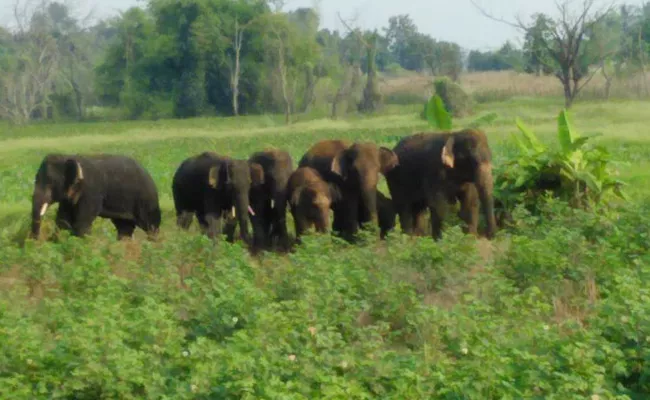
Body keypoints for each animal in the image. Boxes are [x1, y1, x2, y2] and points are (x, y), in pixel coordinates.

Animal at [29, 154, 162, 241]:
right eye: (35, 179)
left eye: (50, 184)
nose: (33, 242)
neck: (68, 156)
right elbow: (62, 221)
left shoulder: (91, 192)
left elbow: (81, 224)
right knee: (124, 228)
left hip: (147, 200)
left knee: (151, 226)